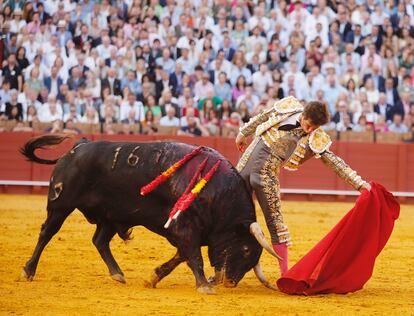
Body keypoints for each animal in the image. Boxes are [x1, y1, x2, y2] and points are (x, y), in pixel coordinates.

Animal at [20, 134, 278, 294]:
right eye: (246, 249)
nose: (230, 282)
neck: (218, 193)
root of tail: (78, 147)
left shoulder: (184, 232)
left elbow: (181, 256)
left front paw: (153, 277)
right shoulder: (186, 228)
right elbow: (194, 257)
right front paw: (204, 286)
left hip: (112, 215)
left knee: (100, 240)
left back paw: (118, 274)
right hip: (61, 204)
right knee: (47, 233)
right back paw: (28, 271)